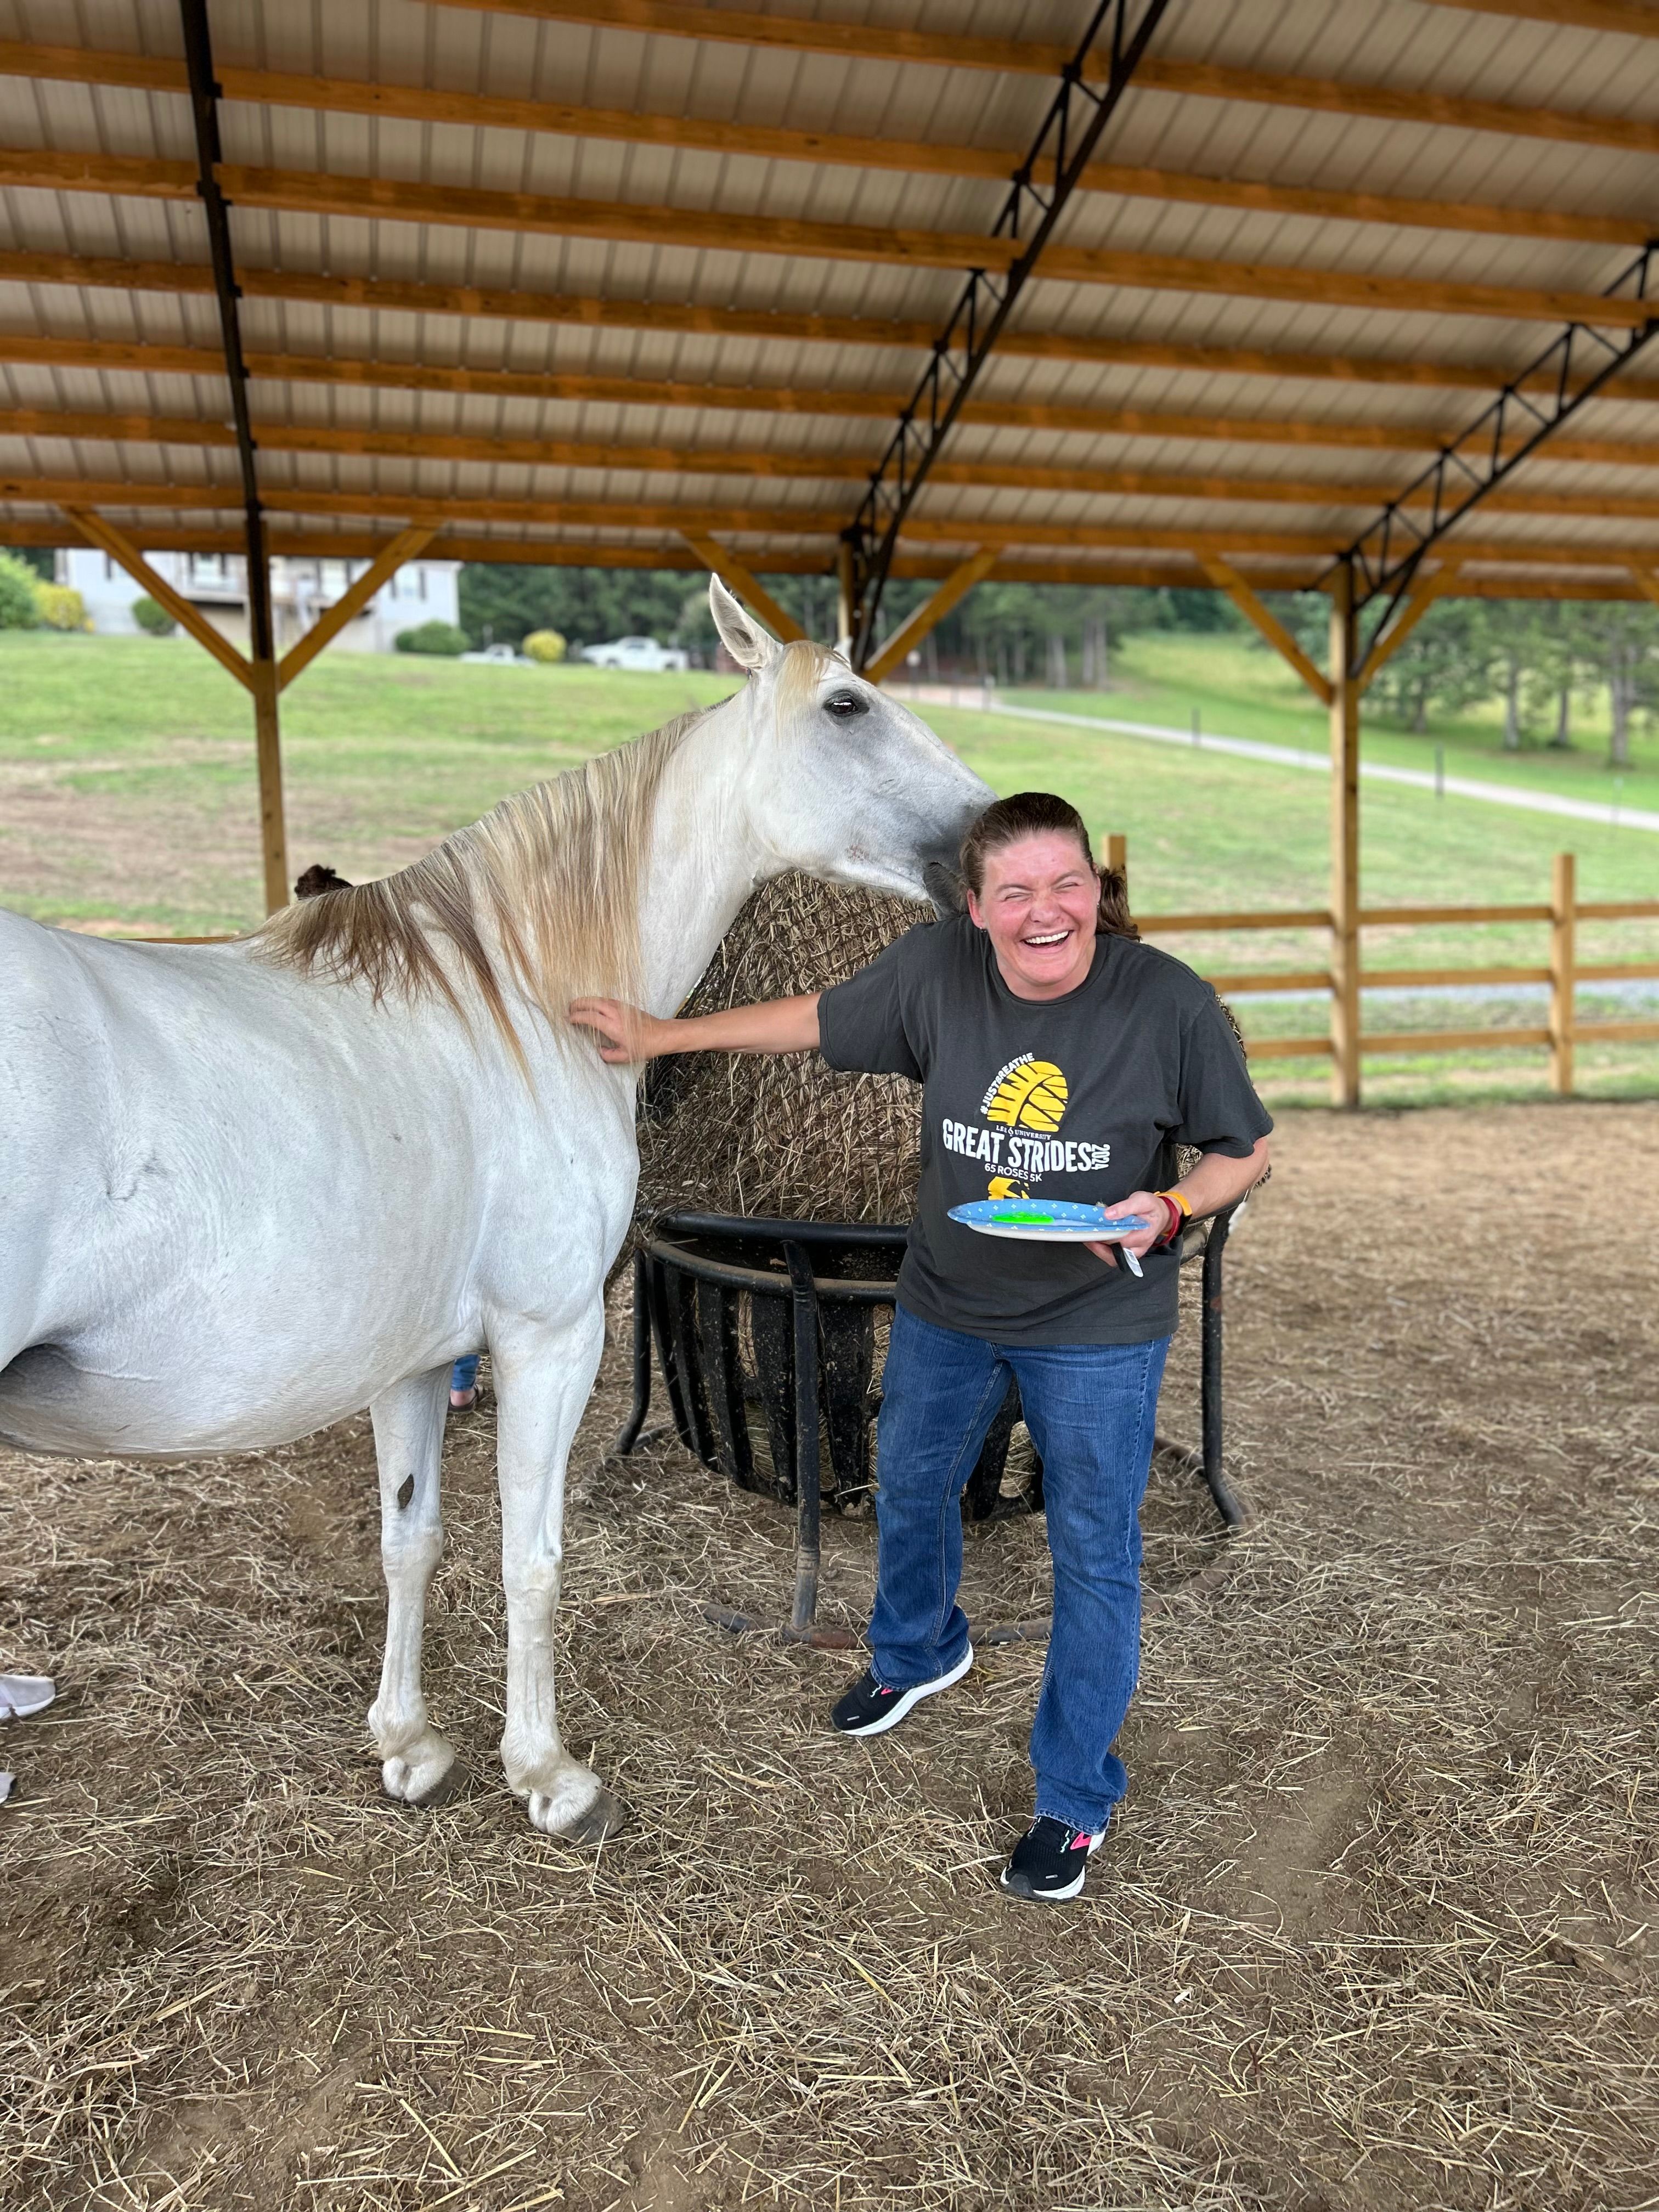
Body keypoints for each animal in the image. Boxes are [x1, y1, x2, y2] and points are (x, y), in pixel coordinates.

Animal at [0, 578, 992, 1844]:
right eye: (848, 706)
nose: (994, 836)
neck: (517, 1001)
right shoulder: (549, 1341)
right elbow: (533, 1557)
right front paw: (549, 1773)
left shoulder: (415, 1362)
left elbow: (410, 1540)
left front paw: (410, 1744)